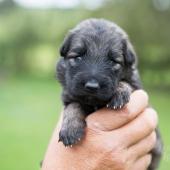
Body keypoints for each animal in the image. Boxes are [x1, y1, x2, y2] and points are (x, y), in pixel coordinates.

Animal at [56, 18, 163, 170]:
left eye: (113, 61)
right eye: (78, 57)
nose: (92, 86)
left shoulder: (140, 93)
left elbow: (127, 83)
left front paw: (119, 91)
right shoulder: (69, 95)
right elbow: (73, 106)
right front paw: (70, 129)